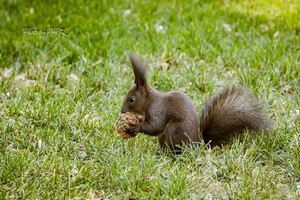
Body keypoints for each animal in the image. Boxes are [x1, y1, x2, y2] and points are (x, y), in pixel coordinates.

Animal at [120, 53, 270, 153]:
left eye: (131, 99)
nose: (122, 111)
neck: (150, 101)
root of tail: (198, 145)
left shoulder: (157, 110)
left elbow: (155, 126)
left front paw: (135, 127)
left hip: (174, 131)